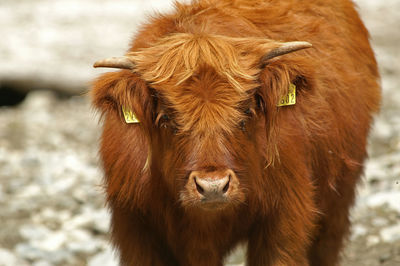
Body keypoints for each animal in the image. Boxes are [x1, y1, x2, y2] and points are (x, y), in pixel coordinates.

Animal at [91, 1, 382, 264]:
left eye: (245, 115)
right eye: (166, 119)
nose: (213, 187)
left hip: (338, 198)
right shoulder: (135, 230)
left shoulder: (284, 221)